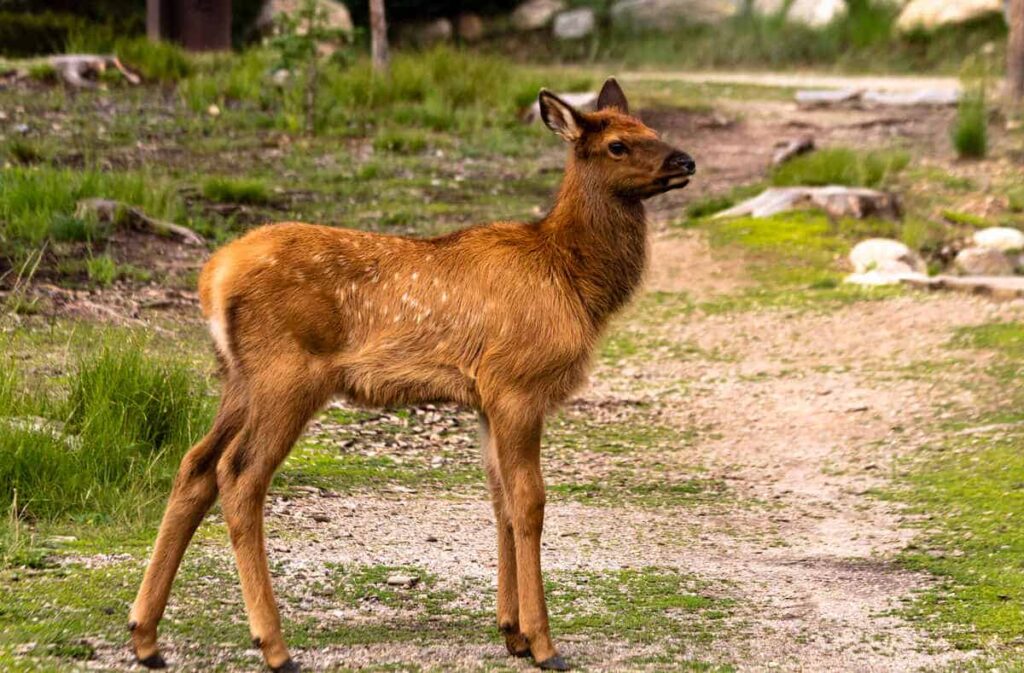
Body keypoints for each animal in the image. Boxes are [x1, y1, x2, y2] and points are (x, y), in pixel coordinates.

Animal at [128, 79, 696, 671]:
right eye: (617, 145)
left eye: (651, 129)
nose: (686, 161)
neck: (574, 281)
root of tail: (212, 278)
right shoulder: (518, 384)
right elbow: (530, 502)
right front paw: (543, 644)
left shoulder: (486, 398)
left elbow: (500, 501)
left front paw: (511, 632)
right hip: (286, 374)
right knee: (239, 474)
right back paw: (274, 646)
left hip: (238, 379)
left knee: (196, 464)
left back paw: (145, 636)